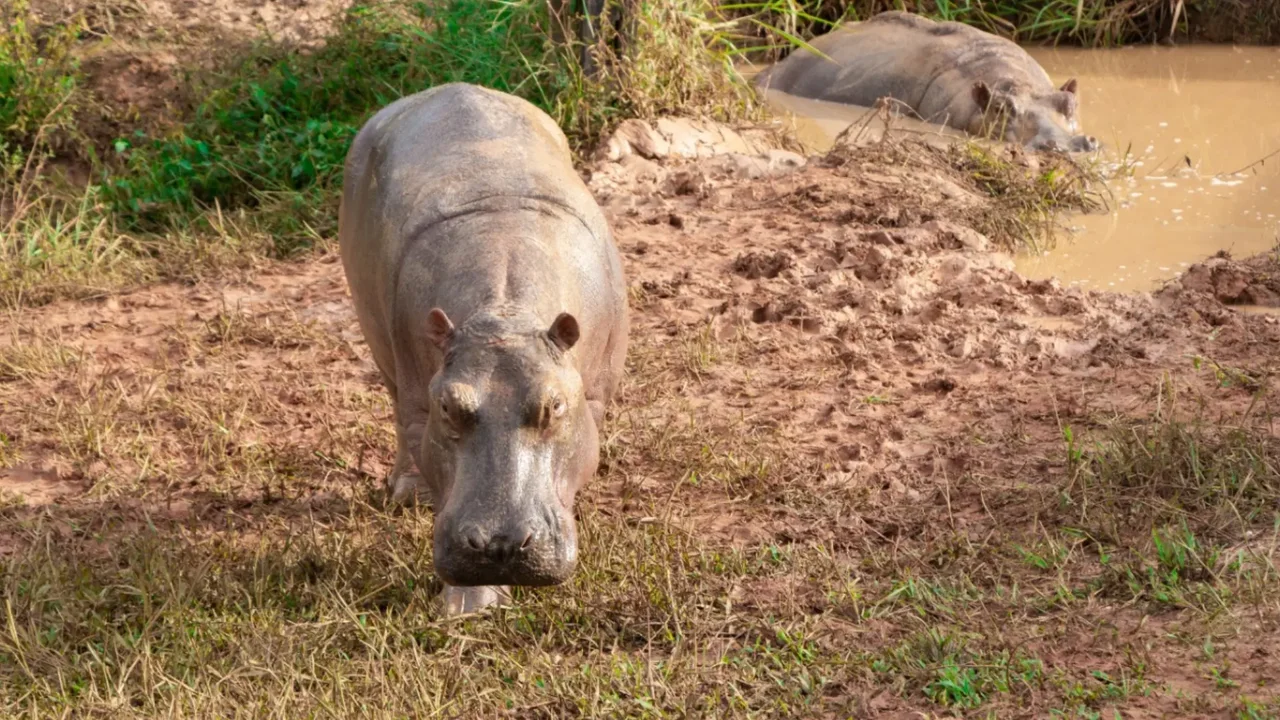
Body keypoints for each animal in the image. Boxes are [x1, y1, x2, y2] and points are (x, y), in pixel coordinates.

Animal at [337, 83, 630, 616]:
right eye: (448, 406)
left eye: (556, 406)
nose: (499, 546)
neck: (505, 316)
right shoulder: (423, 404)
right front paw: (469, 610)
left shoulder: (594, 397)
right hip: (380, 346)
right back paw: (405, 495)